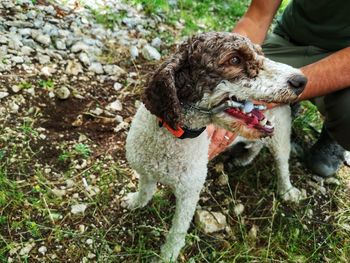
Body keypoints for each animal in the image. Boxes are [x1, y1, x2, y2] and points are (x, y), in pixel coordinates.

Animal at [122, 32, 306, 262]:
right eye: (235, 59)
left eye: (260, 52)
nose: (302, 80)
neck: (170, 137)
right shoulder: (145, 171)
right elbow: (145, 191)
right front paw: (135, 203)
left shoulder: (189, 193)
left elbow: (177, 232)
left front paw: (168, 255)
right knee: (257, 145)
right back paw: (244, 159)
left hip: (280, 135)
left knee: (282, 166)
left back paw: (287, 191)